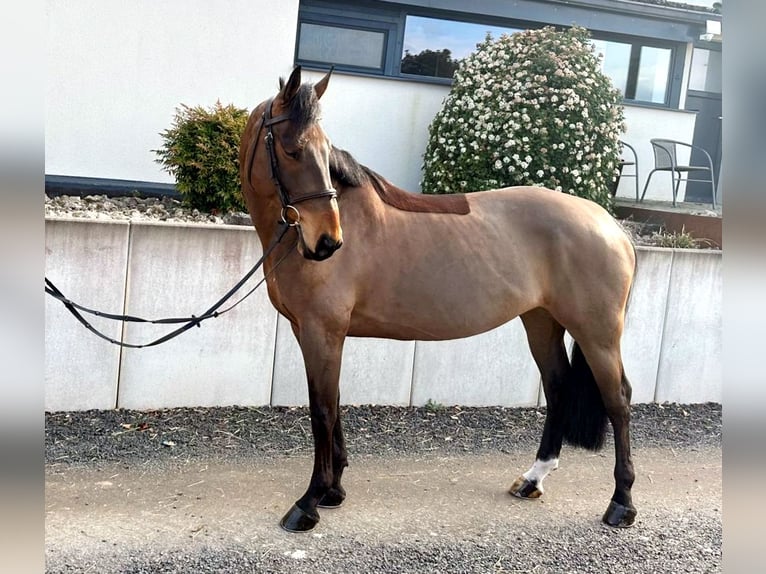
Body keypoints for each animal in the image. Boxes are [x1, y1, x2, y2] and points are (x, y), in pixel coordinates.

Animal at [239, 66, 637, 532]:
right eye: (293, 150)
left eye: (323, 152)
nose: (328, 242)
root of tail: (610, 225)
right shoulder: (316, 333)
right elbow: (333, 404)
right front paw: (334, 490)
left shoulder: (323, 332)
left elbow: (321, 410)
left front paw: (310, 502)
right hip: (542, 321)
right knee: (557, 388)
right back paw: (532, 479)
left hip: (597, 333)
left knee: (618, 400)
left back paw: (622, 502)